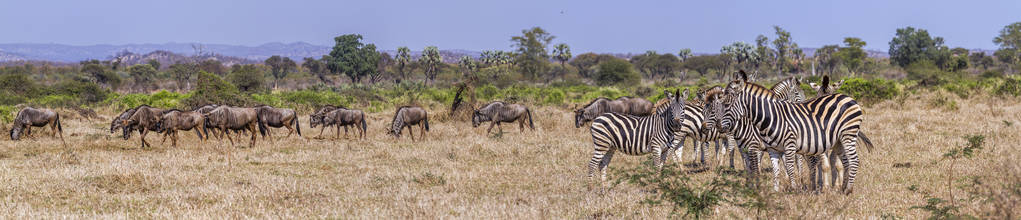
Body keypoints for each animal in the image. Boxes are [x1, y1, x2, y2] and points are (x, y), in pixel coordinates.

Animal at [706, 71, 873, 193]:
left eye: (727, 104)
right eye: (719, 104)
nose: (718, 126)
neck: (769, 117)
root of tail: (848, 97)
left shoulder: (786, 145)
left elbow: (787, 168)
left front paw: (793, 189)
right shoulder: (770, 149)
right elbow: (773, 170)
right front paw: (774, 191)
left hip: (846, 135)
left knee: (852, 160)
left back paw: (846, 190)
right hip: (838, 140)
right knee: (843, 161)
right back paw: (841, 187)